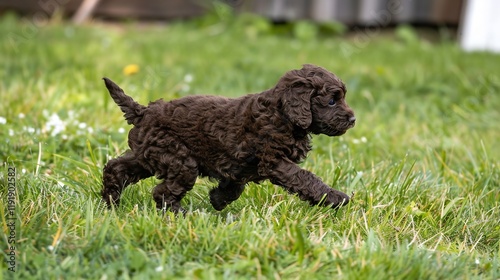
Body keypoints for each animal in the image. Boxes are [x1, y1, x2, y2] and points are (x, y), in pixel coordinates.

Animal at [101, 64, 356, 212]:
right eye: (332, 101)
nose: (353, 119)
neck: (281, 114)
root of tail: (143, 111)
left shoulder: (239, 165)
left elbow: (234, 187)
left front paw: (217, 199)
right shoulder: (275, 161)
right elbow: (306, 178)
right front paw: (336, 198)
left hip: (148, 154)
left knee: (116, 168)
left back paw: (110, 203)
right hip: (179, 160)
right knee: (163, 191)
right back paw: (179, 214)